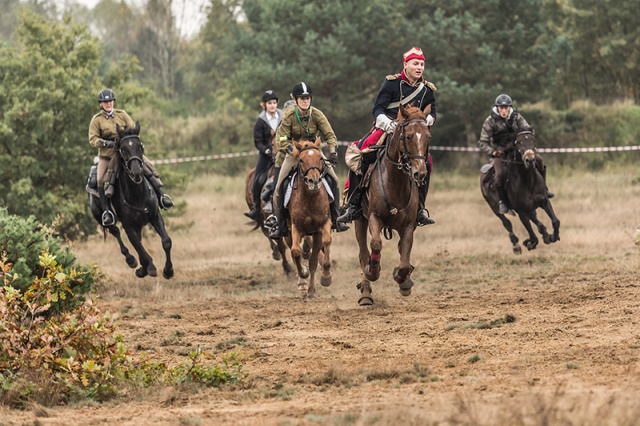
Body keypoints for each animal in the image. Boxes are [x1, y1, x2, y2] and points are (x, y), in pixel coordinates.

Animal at [89, 122, 172, 280]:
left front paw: (168, 270)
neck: (138, 194)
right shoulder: (128, 225)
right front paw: (149, 267)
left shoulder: (155, 216)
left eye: (140, 146)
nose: (136, 172)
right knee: (117, 234)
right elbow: (137, 244)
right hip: (103, 218)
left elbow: (166, 242)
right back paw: (131, 260)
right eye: (123, 148)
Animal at [284, 138, 336, 298]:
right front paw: (303, 274)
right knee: (294, 252)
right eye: (301, 160)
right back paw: (302, 283)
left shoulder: (321, 227)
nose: (314, 181)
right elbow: (295, 252)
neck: (310, 198)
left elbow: (323, 246)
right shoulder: (296, 227)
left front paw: (325, 277)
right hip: (287, 233)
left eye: (320, 158)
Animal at [352, 104, 432, 304]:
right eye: (408, 136)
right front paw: (373, 270)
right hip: (360, 220)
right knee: (363, 253)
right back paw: (366, 292)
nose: (420, 173)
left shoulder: (409, 225)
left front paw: (402, 278)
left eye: (428, 136)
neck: (395, 182)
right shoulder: (373, 217)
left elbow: (404, 256)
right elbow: (375, 245)